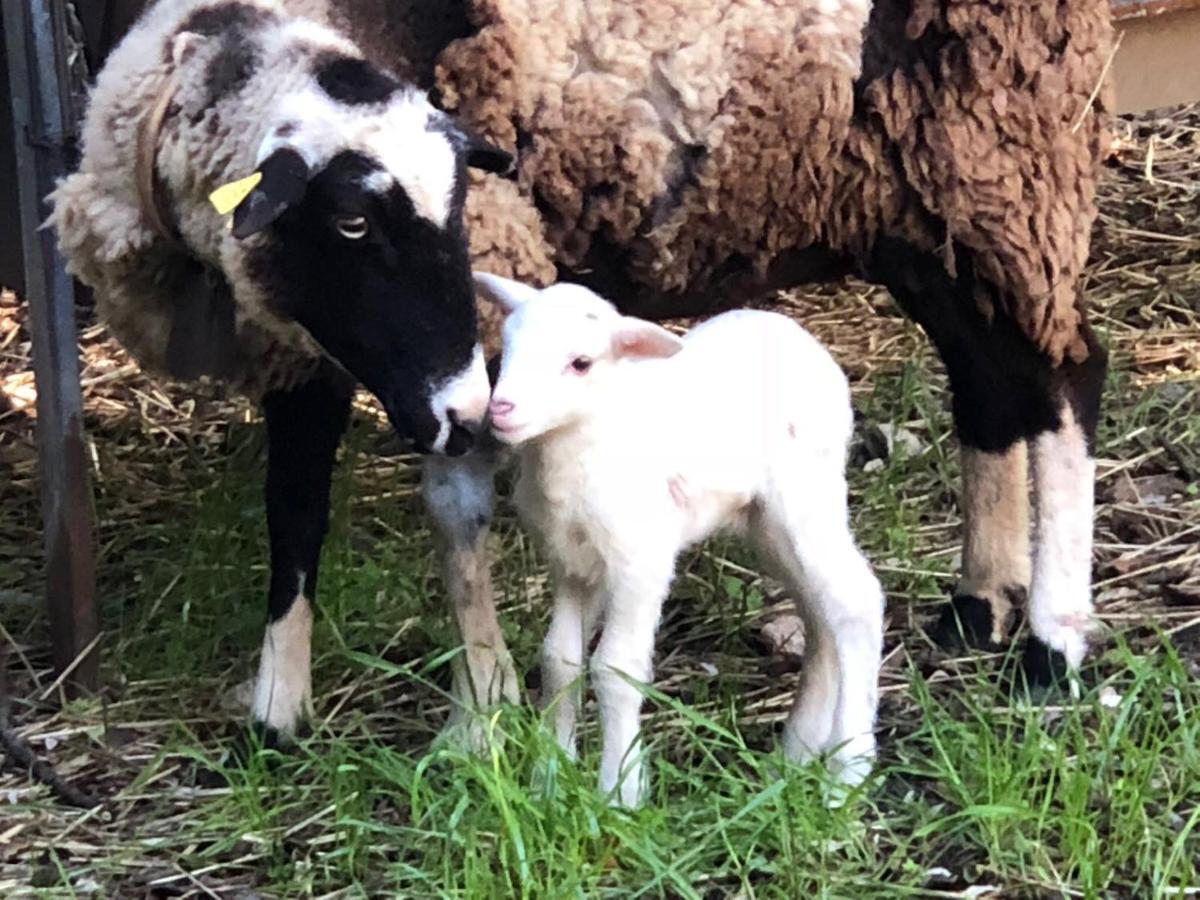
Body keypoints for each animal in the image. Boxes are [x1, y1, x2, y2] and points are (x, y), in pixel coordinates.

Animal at [472, 271, 888, 806]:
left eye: (581, 362)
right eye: (506, 345)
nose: (501, 409)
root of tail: (799, 337)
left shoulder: (640, 559)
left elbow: (615, 668)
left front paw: (620, 792)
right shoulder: (570, 562)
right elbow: (559, 659)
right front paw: (550, 778)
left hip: (806, 494)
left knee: (855, 601)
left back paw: (846, 775)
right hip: (766, 523)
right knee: (821, 615)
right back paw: (794, 754)